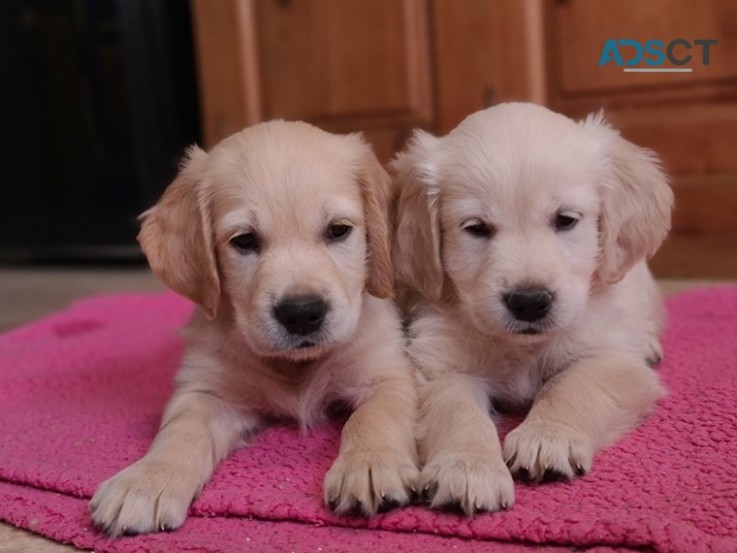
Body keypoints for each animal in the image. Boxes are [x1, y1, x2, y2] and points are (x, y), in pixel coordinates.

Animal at [89, 121, 416, 536]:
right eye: (244, 240)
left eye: (338, 230)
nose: (302, 313)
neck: (295, 365)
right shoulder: (207, 392)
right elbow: (181, 430)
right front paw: (146, 480)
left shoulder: (387, 374)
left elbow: (371, 416)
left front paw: (369, 465)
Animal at [394, 102, 668, 512]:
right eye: (476, 228)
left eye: (566, 220)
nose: (529, 302)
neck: (522, 346)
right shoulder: (443, 366)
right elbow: (459, 414)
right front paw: (468, 468)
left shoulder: (611, 358)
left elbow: (571, 386)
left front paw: (547, 437)